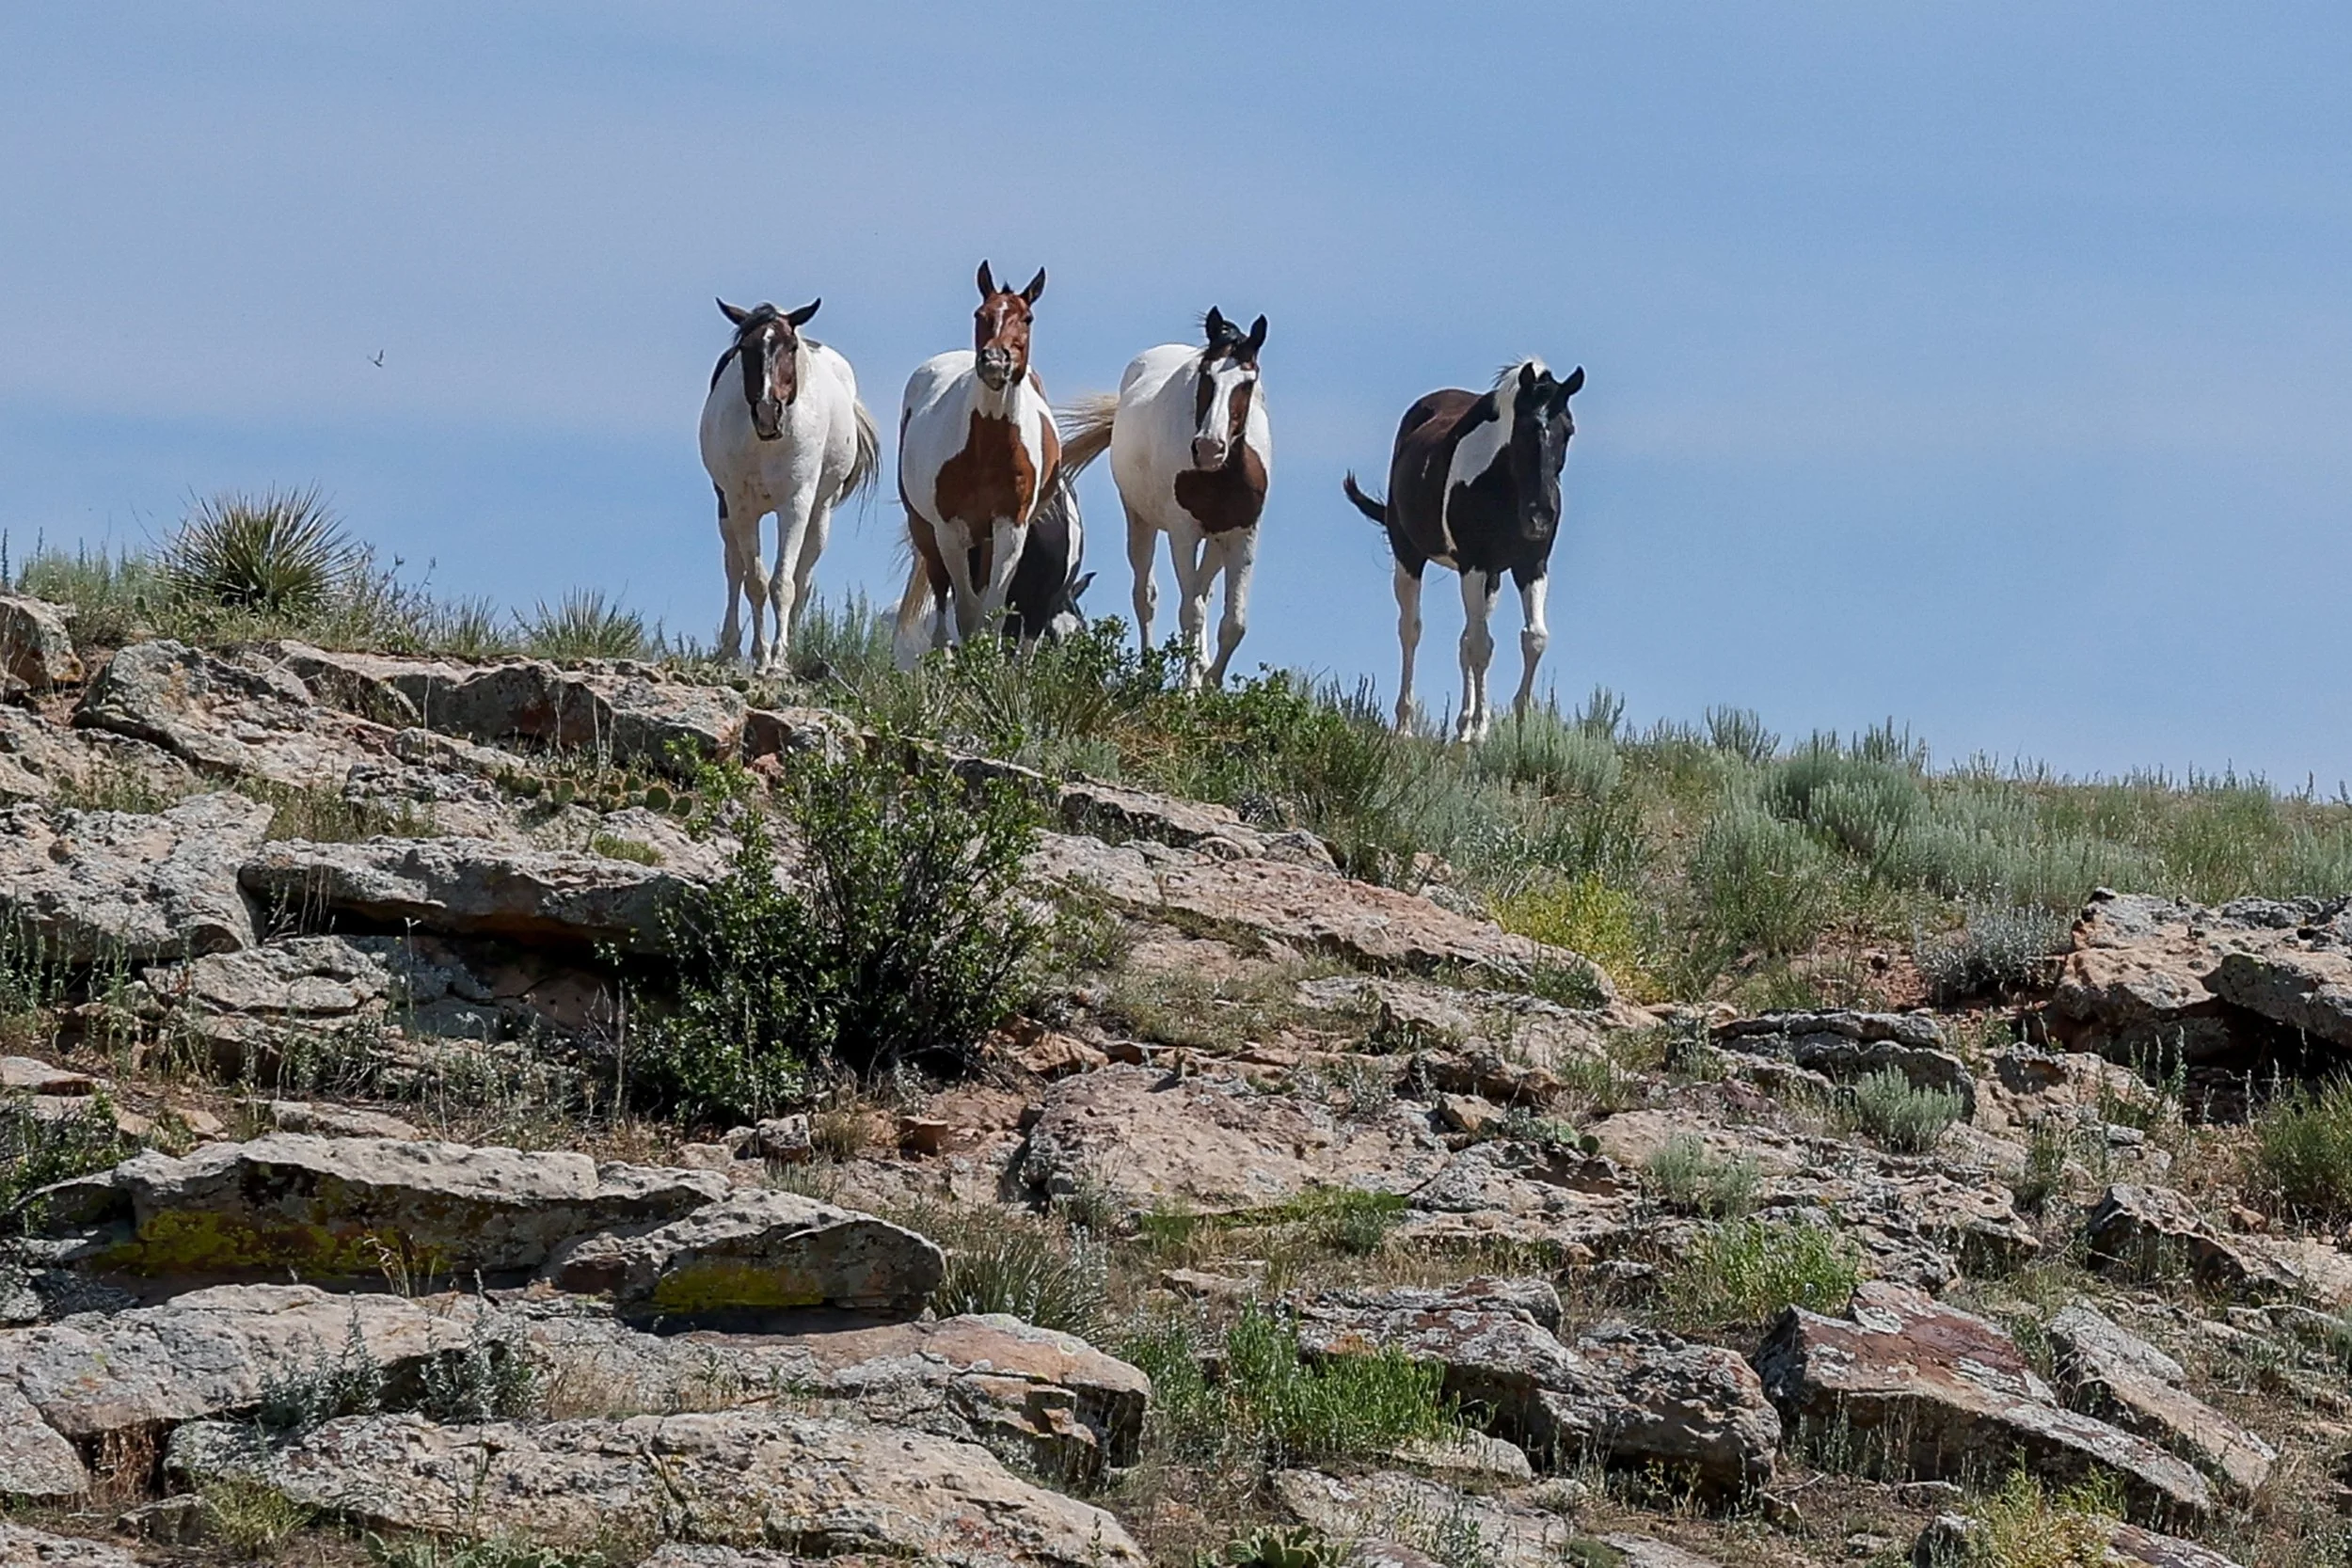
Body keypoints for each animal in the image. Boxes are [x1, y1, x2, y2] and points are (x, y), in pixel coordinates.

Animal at [697, 297, 880, 676]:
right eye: (745, 348)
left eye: (791, 347)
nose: (769, 410)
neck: (765, 443)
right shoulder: (740, 505)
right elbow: (754, 580)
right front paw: (760, 655)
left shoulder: (795, 504)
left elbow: (784, 582)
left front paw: (778, 658)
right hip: (726, 510)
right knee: (734, 569)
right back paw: (730, 649)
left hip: (820, 512)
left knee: (803, 578)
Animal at [893, 262, 1075, 668]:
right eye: (981, 314)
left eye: (1027, 317)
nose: (994, 361)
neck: (986, 453)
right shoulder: (949, 530)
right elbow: (965, 608)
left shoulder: (1010, 527)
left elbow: (993, 607)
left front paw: (987, 661)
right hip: (926, 530)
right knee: (944, 593)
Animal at [1058, 307, 1270, 687]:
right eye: (1205, 375)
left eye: (1247, 382)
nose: (1209, 447)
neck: (1222, 476)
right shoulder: (1183, 533)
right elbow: (1190, 612)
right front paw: (1190, 690)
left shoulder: (1244, 535)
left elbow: (1233, 623)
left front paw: (1210, 683)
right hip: (1140, 520)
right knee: (1147, 596)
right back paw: (1148, 672)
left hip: (1216, 541)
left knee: (1202, 590)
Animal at [1343, 359, 1585, 741]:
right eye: (1526, 429)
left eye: (1568, 430)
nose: (1540, 517)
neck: (1501, 484)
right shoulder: (1475, 563)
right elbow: (1480, 645)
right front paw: (1481, 730)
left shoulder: (1530, 565)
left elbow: (1532, 638)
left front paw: (1519, 726)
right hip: (1408, 556)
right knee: (1411, 629)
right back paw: (1405, 726)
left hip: (1492, 578)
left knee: (1464, 638)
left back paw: (1460, 725)